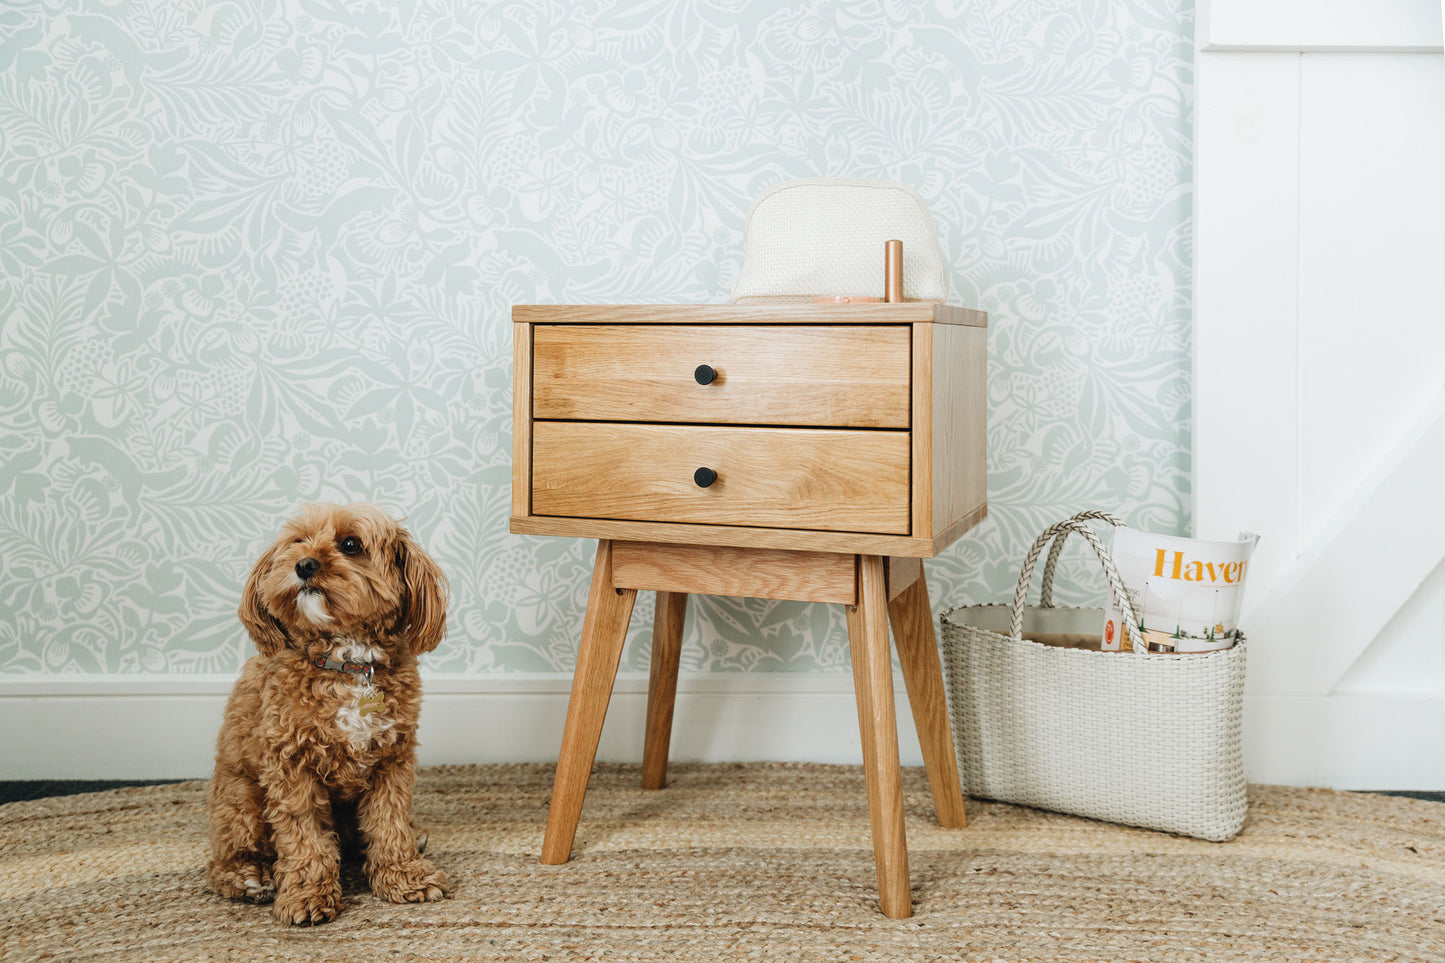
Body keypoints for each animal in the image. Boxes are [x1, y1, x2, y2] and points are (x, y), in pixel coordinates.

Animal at [206, 497, 447, 919]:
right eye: (298, 542)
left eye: (351, 544)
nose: (303, 565)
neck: (348, 662)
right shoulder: (290, 766)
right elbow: (304, 836)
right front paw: (307, 894)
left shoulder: (391, 761)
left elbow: (389, 822)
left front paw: (403, 875)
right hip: (242, 800)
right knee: (227, 858)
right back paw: (251, 878)